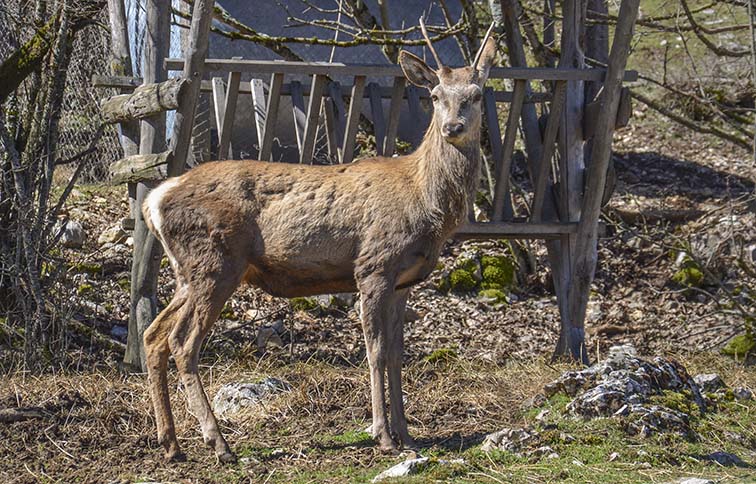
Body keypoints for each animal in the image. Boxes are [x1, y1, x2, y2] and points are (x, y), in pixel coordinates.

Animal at [143, 20, 496, 464]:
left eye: (477, 94)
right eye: (435, 96)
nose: (453, 128)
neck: (424, 201)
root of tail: (155, 200)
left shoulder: (404, 282)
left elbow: (398, 356)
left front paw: (408, 435)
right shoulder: (373, 266)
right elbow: (376, 351)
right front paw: (383, 435)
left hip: (187, 272)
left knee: (153, 336)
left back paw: (171, 444)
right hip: (215, 262)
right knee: (182, 343)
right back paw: (219, 443)